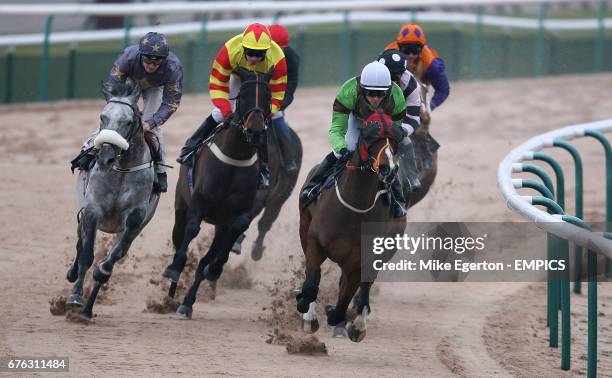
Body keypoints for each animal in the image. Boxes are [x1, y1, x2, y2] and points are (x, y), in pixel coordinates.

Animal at [65, 81, 159, 320]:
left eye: (128, 122)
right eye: (102, 117)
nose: (105, 157)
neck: (121, 169)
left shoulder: (134, 220)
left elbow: (108, 263)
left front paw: (88, 306)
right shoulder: (92, 211)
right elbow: (86, 255)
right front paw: (75, 296)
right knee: (80, 242)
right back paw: (72, 274)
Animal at [165, 67, 272, 318]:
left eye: (267, 97)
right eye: (243, 96)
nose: (255, 132)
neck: (236, 157)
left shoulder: (239, 214)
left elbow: (232, 235)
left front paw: (213, 270)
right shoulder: (199, 203)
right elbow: (191, 232)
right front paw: (174, 269)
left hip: (219, 225)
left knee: (205, 260)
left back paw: (187, 303)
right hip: (180, 207)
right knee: (179, 237)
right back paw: (172, 287)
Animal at [296, 110, 406, 342]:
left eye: (395, 138)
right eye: (368, 137)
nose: (389, 169)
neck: (354, 208)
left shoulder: (359, 261)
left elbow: (345, 300)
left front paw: (338, 315)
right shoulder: (314, 242)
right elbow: (311, 284)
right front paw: (307, 313)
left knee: (363, 288)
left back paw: (357, 324)